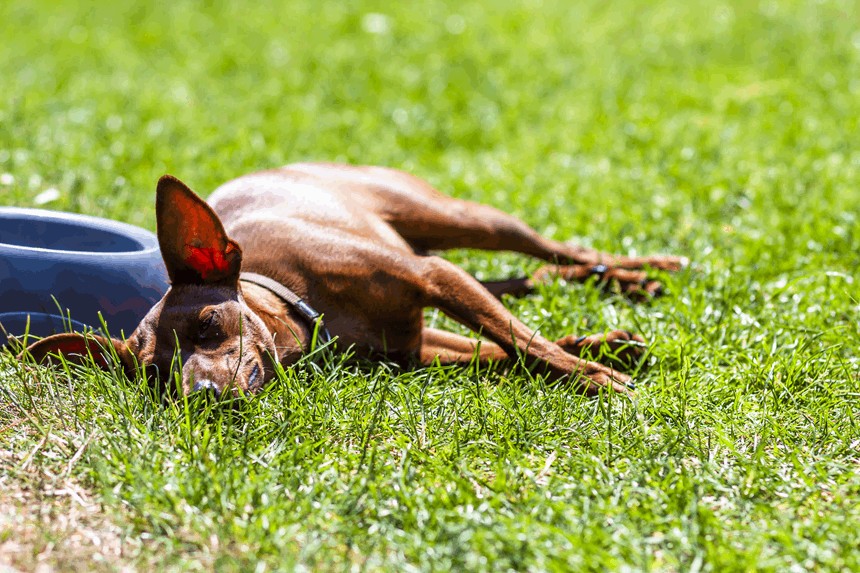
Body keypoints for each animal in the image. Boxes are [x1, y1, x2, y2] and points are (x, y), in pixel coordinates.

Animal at [20, 161, 684, 394]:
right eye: (153, 376)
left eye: (210, 325)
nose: (200, 395)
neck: (306, 302)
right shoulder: (419, 347)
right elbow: (508, 348)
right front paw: (597, 352)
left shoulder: (436, 278)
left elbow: (523, 342)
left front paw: (593, 375)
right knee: (534, 280)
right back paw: (617, 308)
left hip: (464, 223)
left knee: (557, 248)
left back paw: (648, 272)